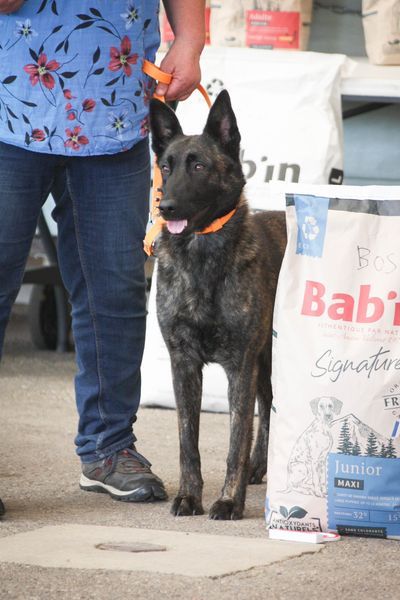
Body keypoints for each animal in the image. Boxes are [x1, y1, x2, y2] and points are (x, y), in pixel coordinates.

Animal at [148, 90, 286, 520]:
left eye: (199, 166)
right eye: (165, 166)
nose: (166, 207)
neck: (202, 255)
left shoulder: (239, 364)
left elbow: (235, 440)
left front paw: (228, 499)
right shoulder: (184, 363)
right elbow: (187, 443)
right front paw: (189, 496)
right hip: (264, 360)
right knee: (267, 404)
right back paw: (260, 466)